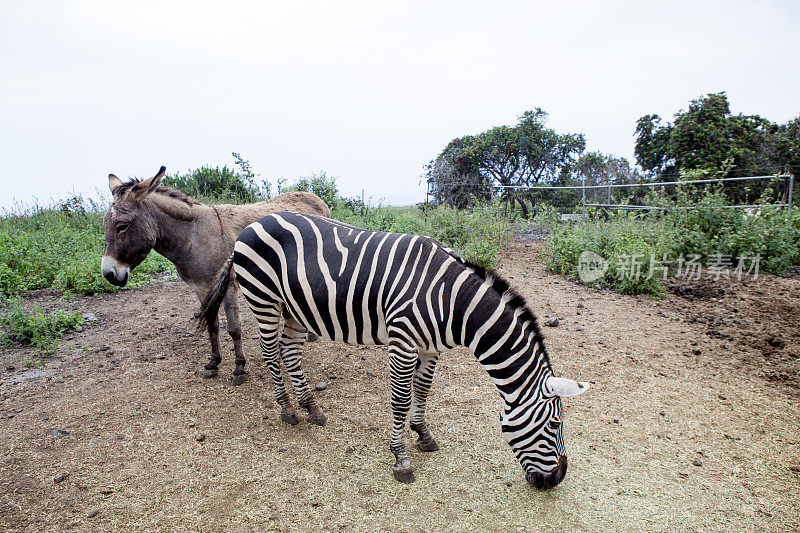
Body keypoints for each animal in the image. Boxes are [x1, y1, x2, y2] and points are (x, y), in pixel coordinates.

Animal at [197, 211, 592, 486]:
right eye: (555, 424)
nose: (557, 479)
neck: (452, 301)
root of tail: (252, 224)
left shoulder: (431, 348)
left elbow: (423, 390)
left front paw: (423, 434)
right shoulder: (402, 343)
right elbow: (400, 399)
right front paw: (401, 459)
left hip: (296, 307)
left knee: (290, 351)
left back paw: (312, 408)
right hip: (263, 299)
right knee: (270, 352)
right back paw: (288, 410)